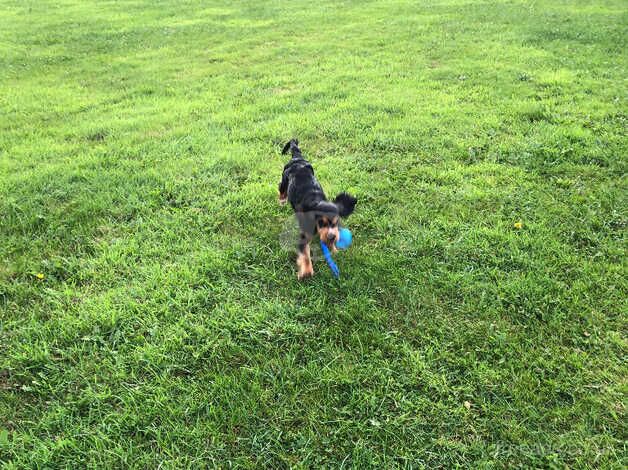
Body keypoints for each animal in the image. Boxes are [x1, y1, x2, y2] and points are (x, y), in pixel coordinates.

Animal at [278, 140, 356, 280]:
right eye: (321, 222)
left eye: (336, 222)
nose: (332, 237)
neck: (317, 201)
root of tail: (297, 158)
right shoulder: (305, 234)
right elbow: (305, 254)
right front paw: (306, 272)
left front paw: (333, 248)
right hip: (285, 177)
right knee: (281, 187)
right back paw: (282, 200)